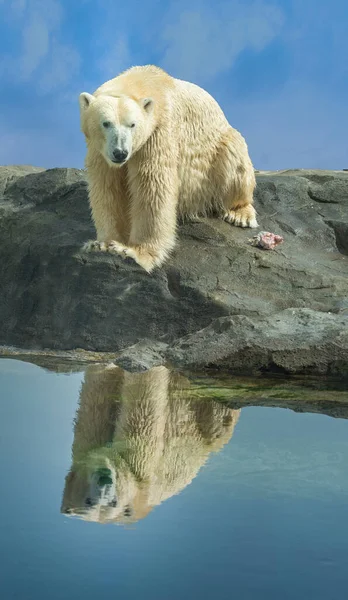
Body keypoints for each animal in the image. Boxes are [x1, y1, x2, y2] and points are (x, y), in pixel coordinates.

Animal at [79, 65, 258, 272]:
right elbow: (107, 187)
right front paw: (102, 244)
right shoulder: (100, 151)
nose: (120, 153)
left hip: (218, 152)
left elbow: (153, 187)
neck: (144, 80)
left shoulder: (158, 133)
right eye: (106, 123)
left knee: (234, 158)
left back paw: (240, 214)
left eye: (132, 124)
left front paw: (135, 252)